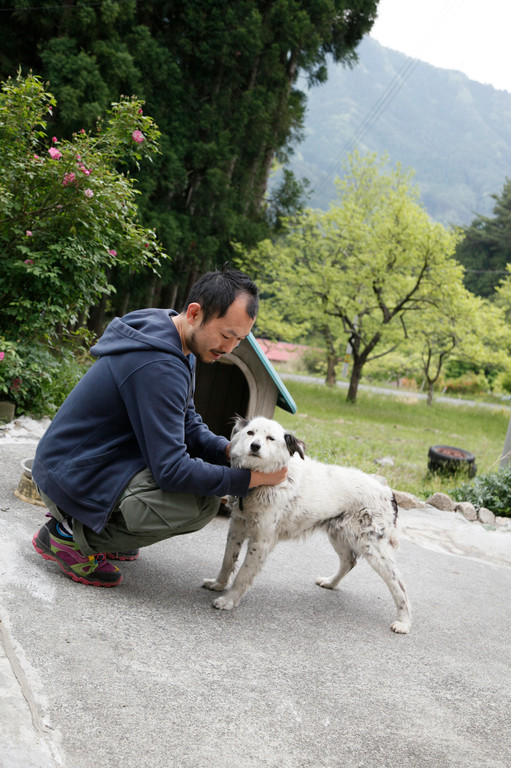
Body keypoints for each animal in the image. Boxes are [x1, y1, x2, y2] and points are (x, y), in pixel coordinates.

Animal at [204, 416, 412, 632]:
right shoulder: (236, 527)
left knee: (400, 585)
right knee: (349, 561)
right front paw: (218, 584)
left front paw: (228, 600)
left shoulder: (261, 542)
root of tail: (387, 492)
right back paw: (330, 583)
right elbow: (227, 561)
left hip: (373, 548)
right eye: (250, 433)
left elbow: (243, 574)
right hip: (338, 534)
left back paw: (404, 622)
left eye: (270, 438)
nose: (255, 446)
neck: (263, 482)